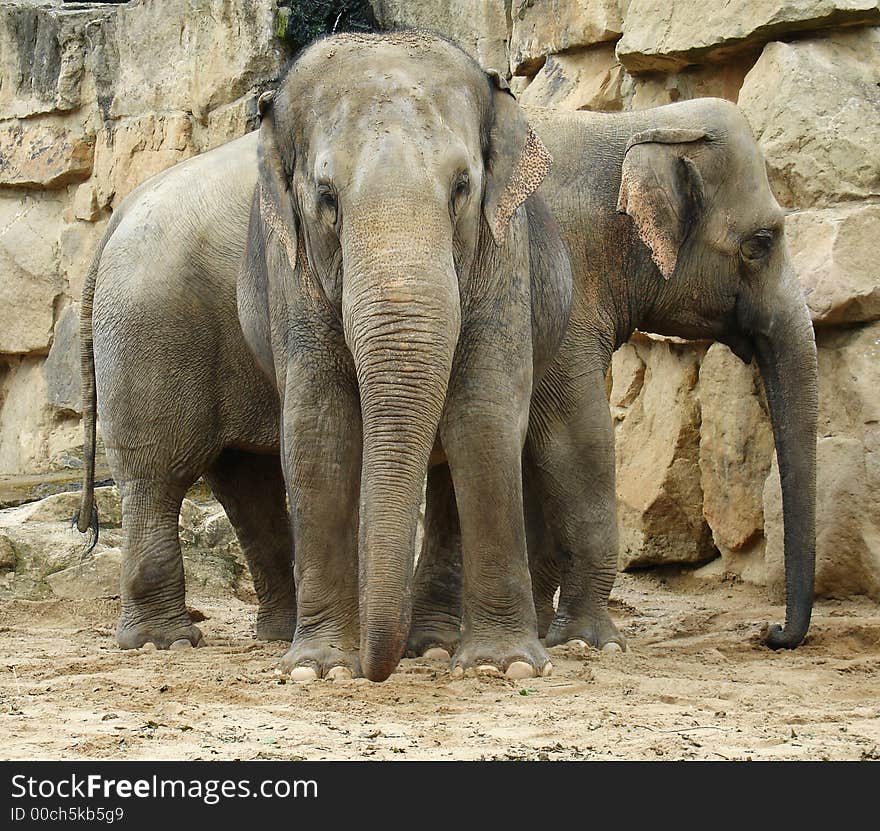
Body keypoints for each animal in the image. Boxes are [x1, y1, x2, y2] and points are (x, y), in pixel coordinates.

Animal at [74, 30, 572, 684]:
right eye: (327, 198)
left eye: (463, 188)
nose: (376, 665)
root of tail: (120, 213)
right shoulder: (292, 269)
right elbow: (319, 430)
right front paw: (323, 668)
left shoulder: (504, 252)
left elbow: (482, 417)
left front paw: (501, 666)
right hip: (148, 325)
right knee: (158, 474)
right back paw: (166, 644)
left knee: (245, 480)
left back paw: (344, 640)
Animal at [410, 96, 820, 656]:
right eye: (759, 243)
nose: (772, 633)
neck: (636, 124)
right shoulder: (565, 289)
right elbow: (578, 437)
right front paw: (591, 642)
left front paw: (547, 635)